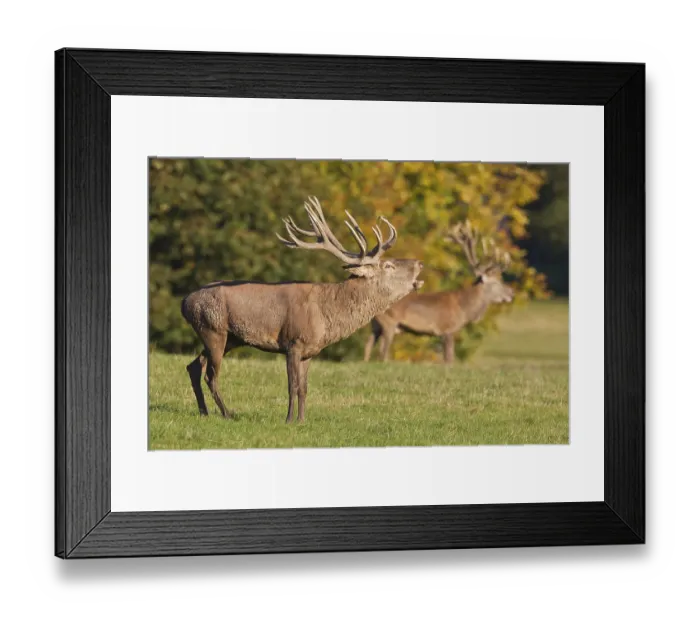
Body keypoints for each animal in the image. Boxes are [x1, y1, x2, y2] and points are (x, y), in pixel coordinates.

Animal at [180, 196, 424, 424]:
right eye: (389, 266)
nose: (419, 263)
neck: (327, 315)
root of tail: (185, 302)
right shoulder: (293, 342)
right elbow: (293, 386)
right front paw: (289, 420)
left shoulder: (310, 351)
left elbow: (305, 388)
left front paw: (302, 420)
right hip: (213, 329)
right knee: (211, 375)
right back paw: (227, 414)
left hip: (229, 338)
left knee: (194, 366)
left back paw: (204, 412)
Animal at [363, 219, 514, 364]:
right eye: (496, 282)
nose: (511, 293)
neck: (464, 309)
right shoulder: (447, 329)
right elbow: (449, 358)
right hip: (389, 322)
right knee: (382, 352)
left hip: (375, 325)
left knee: (368, 345)